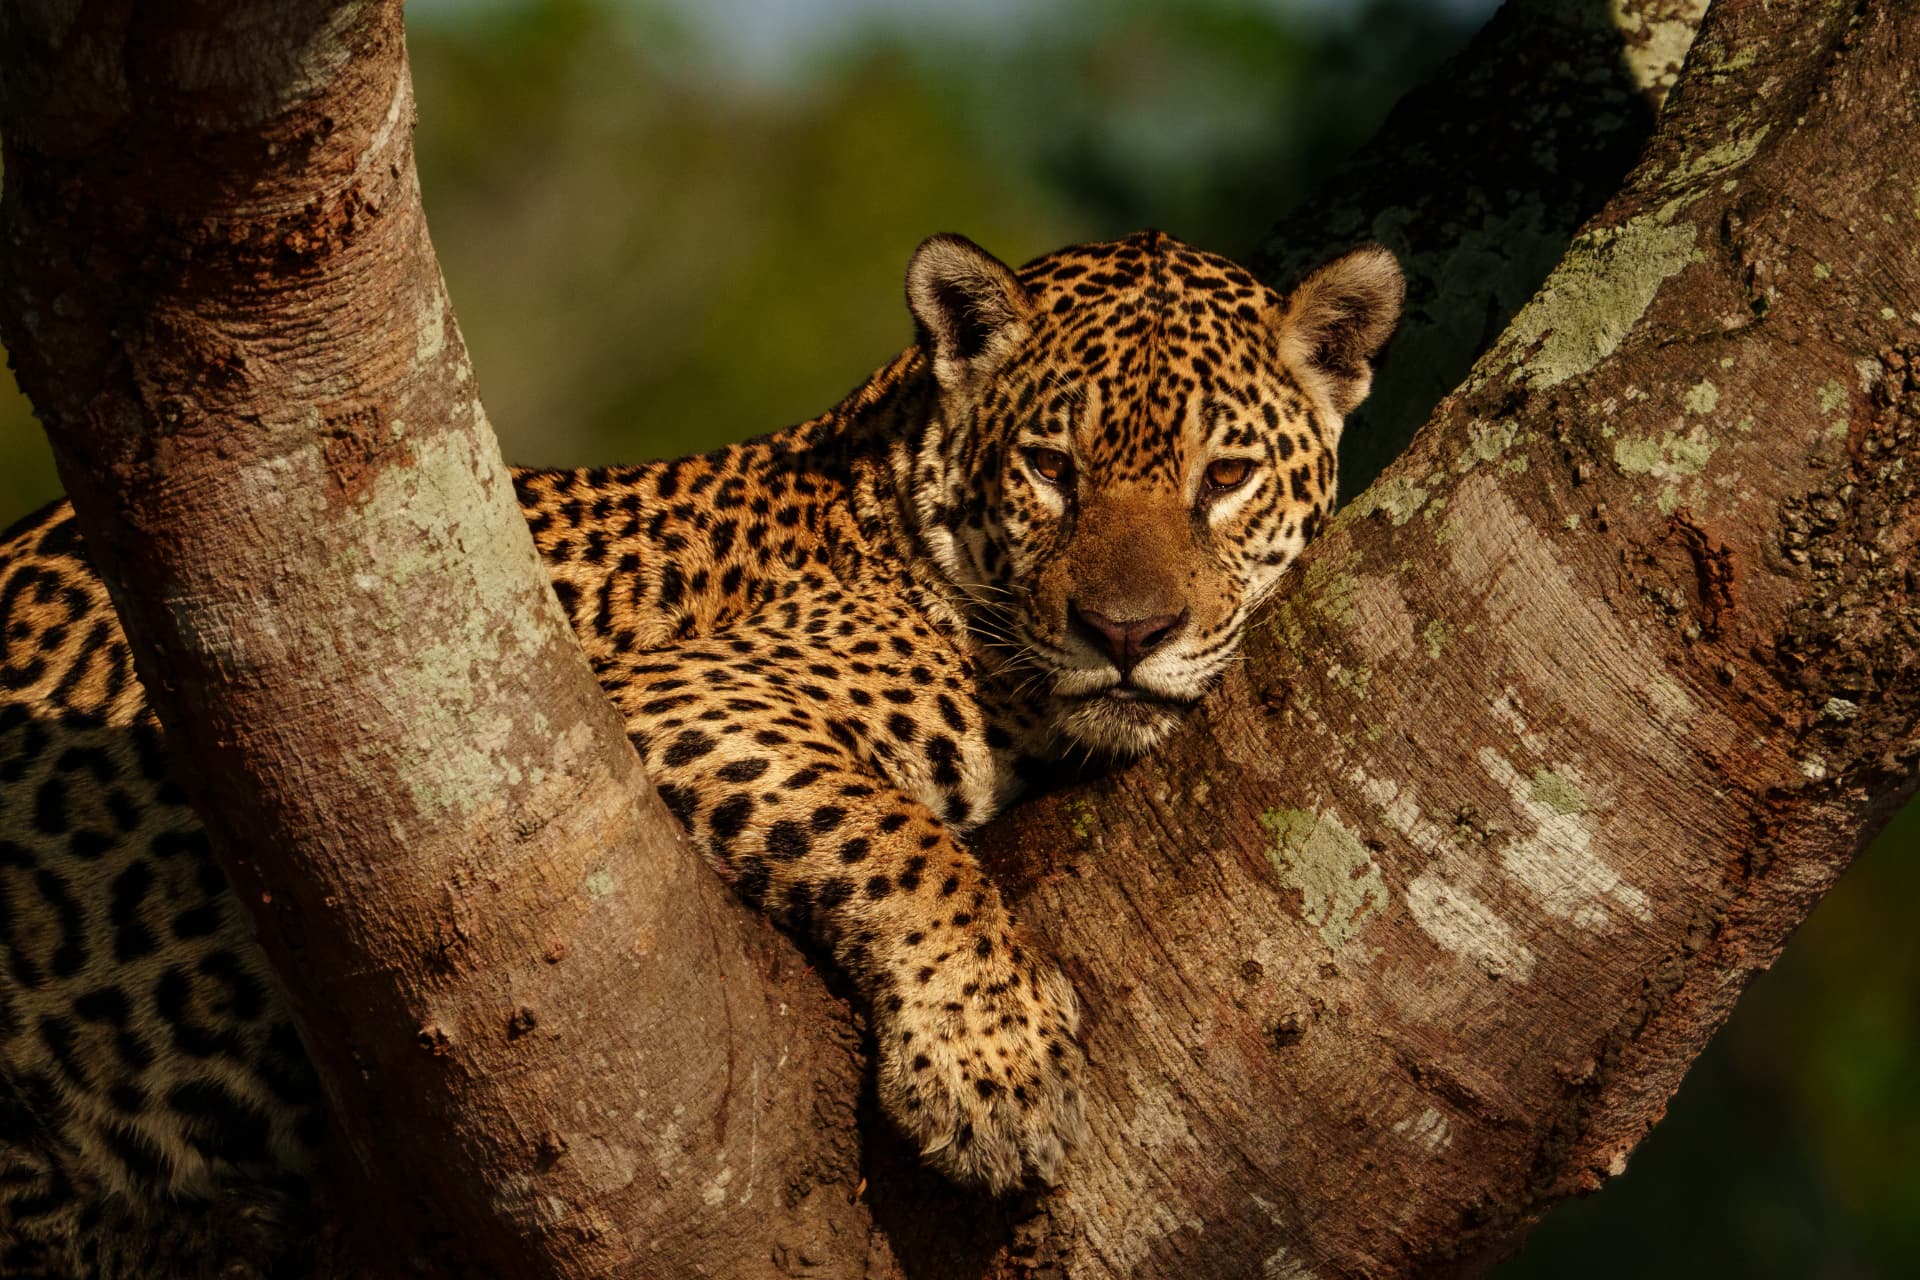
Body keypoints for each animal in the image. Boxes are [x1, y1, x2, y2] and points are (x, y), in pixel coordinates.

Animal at [0, 228, 1401, 1277]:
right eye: (1052, 467)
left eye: (1225, 476)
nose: (1126, 632)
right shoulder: (645, 705)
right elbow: (899, 834)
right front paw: (993, 1063)